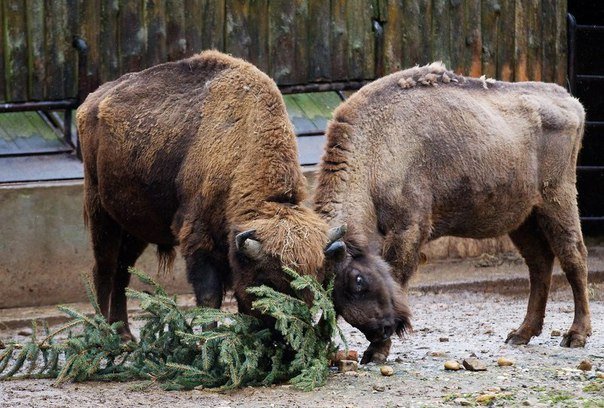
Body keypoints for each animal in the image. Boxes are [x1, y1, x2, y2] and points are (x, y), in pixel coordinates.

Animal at [76, 50, 344, 338]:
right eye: (268, 282)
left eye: (314, 283)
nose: (283, 335)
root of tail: (91, 102)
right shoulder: (199, 240)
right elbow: (209, 297)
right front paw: (208, 337)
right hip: (101, 212)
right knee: (104, 269)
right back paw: (103, 332)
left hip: (135, 226)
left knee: (122, 271)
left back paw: (124, 334)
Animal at [314, 63, 592, 364]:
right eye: (331, 294)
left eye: (358, 280)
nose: (382, 330)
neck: (373, 147)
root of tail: (571, 102)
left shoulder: (408, 228)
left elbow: (398, 275)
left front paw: (376, 353)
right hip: (523, 219)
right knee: (539, 263)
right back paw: (521, 334)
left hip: (557, 200)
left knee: (573, 257)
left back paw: (575, 335)